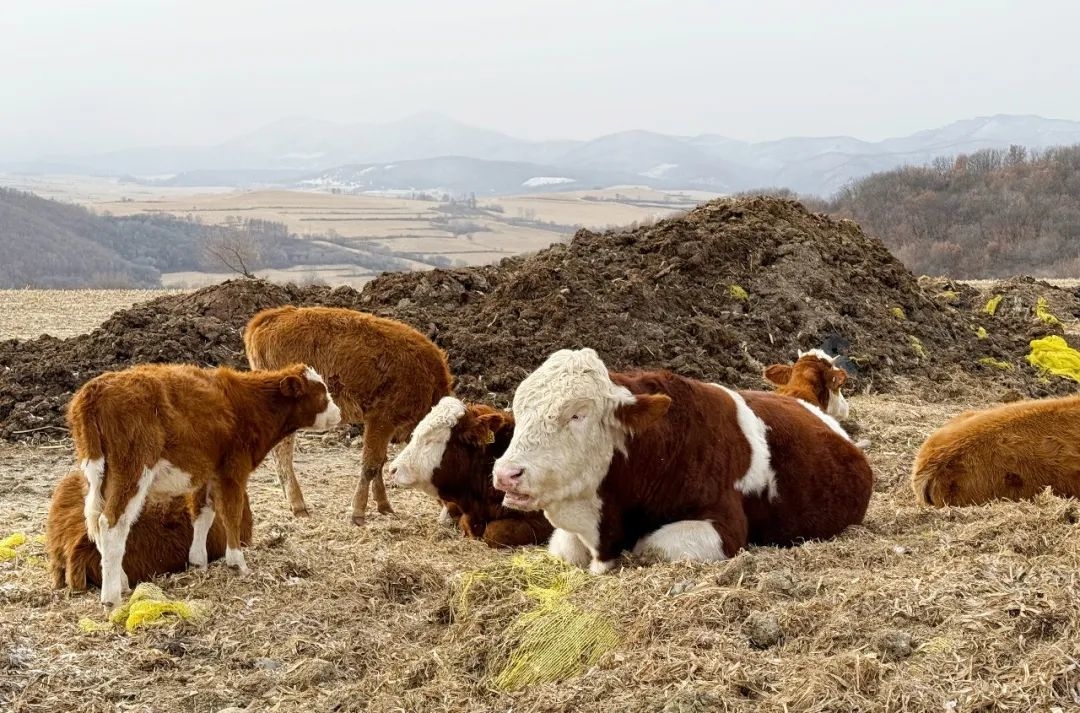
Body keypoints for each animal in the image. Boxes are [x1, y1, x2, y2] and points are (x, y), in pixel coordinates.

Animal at [68, 358, 336, 604]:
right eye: (321, 392)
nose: (339, 412)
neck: (249, 403)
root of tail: (95, 389)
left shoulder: (209, 474)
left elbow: (203, 514)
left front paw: (199, 561)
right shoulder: (233, 471)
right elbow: (231, 514)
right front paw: (237, 562)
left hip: (97, 477)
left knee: (95, 523)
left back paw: (121, 582)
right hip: (131, 472)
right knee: (112, 524)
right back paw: (111, 597)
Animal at [244, 304, 451, 527]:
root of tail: (270, 317)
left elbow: (380, 462)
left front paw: (384, 506)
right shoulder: (381, 420)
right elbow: (370, 465)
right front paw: (358, 512)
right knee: (283, 453)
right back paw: (299, 506)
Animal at [494, 345, 872, 574]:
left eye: (577, 415)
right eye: (520, 410)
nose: (506, 474)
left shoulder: (725, 527)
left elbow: (650, 547)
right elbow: (564, 548)